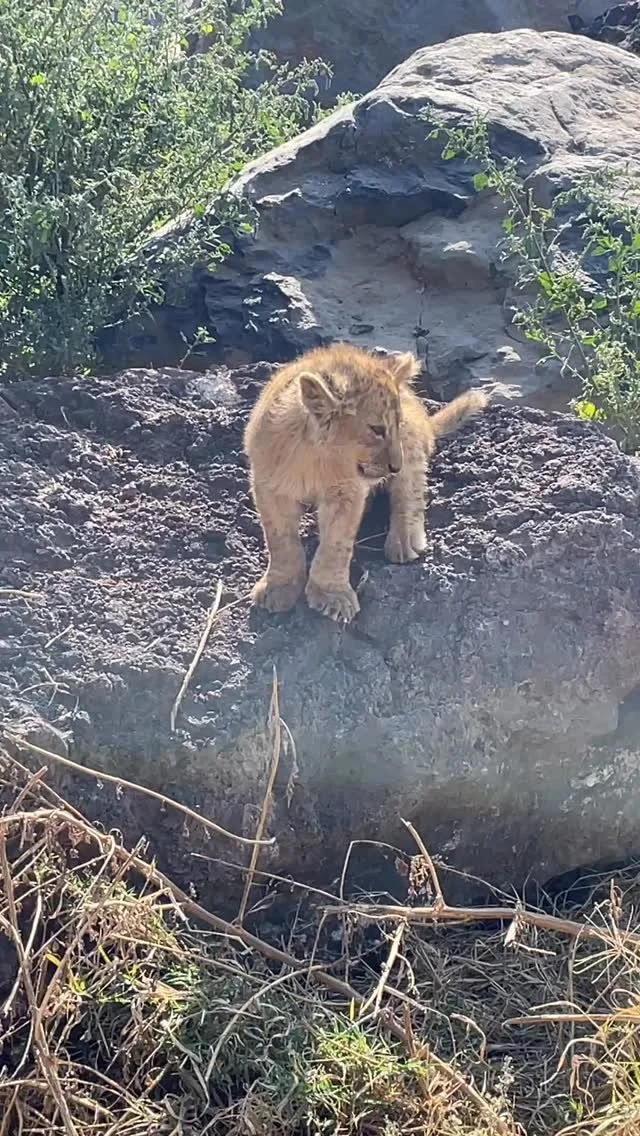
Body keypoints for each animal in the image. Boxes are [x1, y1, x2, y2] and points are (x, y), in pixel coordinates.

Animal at [243, 342, 488, 623]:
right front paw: (279, 587)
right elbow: (280, 541)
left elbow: (336, 544)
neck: (316, 457)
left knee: (411, 490)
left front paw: (331, 595)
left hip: (413, 445)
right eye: (377, 429)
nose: (395, 466)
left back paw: (404, 540)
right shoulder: (269, 487)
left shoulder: (347, 492)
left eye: (396, 425)